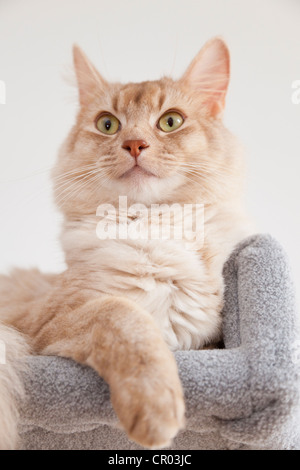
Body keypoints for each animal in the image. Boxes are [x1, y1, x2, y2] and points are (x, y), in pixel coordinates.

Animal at [0, 36, 253, 448]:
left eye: (170, 121)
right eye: (108, 124)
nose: (134, 144)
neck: (150, 229)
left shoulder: (210, 343)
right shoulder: (44, 324)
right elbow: (123, 317)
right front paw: (155, 410)